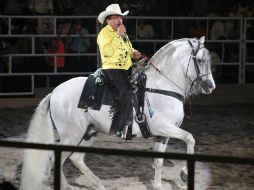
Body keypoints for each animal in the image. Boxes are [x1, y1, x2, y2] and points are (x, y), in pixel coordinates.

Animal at [19, 36, 215, 189]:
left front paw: (159, 186)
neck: (162, 87)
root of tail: (54, 93)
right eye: (200, 60)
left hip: (89, 133)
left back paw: (98, 184)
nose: (210, 87)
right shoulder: (163, 127)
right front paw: (184, 173)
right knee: (56, 159)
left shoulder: (164, 134)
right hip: (71, 136)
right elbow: (190, 138)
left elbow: (159, 161)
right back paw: (68, 186)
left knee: (76, 159)